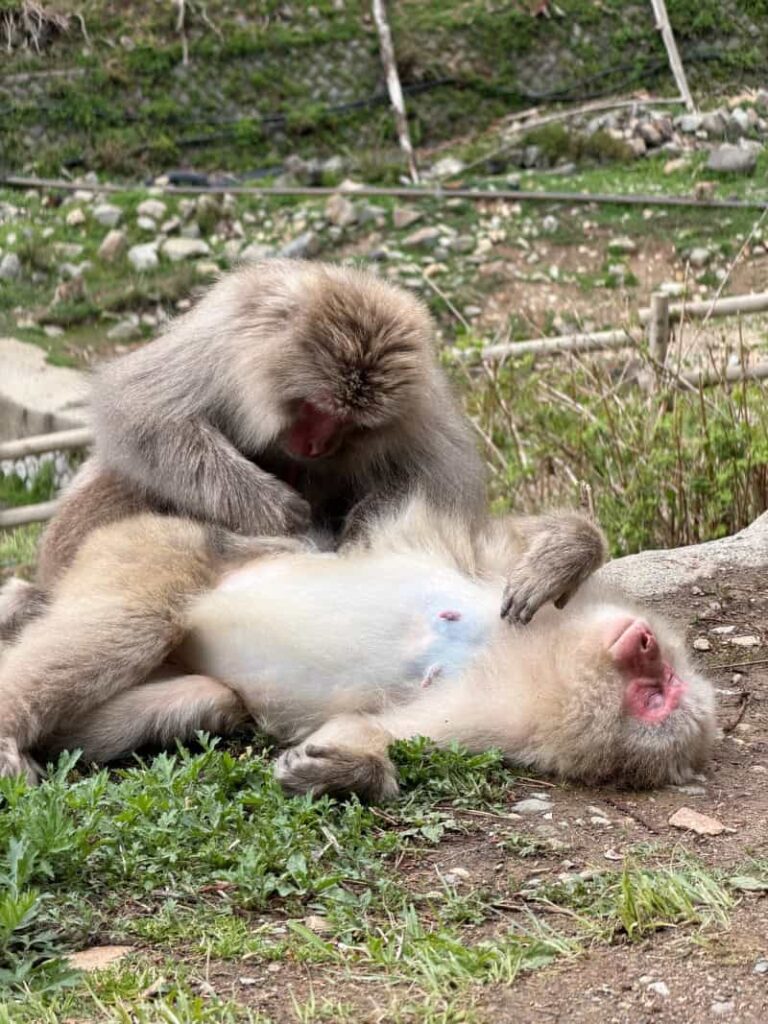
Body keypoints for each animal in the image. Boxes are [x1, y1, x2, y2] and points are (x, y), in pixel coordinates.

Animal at [0, 499, 716, 798]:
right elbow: (514, 541)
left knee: (209, 696)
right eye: (661, 678)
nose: (644, 641)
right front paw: (561, 556)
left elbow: (373, 730)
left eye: (656, 696)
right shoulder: (496, 578)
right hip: (158, 545)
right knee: (135, 619)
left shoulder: (476, 721)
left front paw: (344, 770)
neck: (516, 655)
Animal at [33, 258, 487, 591]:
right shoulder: (225, 341)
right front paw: (275, 509)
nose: (317, 446)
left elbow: (445, 483)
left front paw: (360, 532)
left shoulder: (417, 402)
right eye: (317, 408)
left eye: (350, 423)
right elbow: (145, 410)